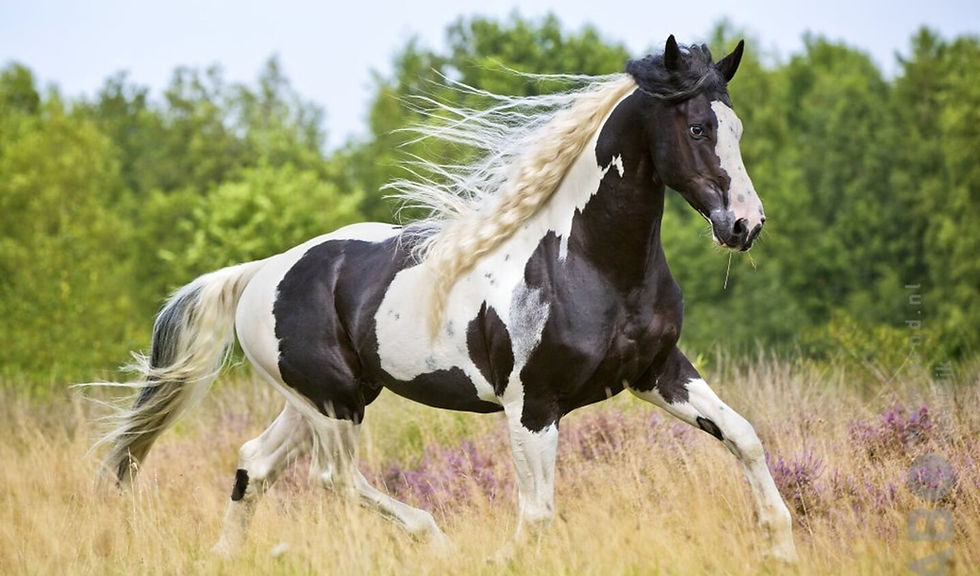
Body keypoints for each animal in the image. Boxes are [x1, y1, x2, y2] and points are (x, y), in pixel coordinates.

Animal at [94, 35, 798, 562]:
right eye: (699, 127)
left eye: (736, 126)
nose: (745, 225)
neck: (586, 263)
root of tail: (261, 272)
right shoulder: (532, 405)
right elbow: (537, 515)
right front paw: (497, 559)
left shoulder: (658, 373)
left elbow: (745, 438)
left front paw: (779, 544)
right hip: (333, 404)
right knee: (333, 477)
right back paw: (432, 537)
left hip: (321, 400)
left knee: (254, 464)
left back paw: (225, 556)